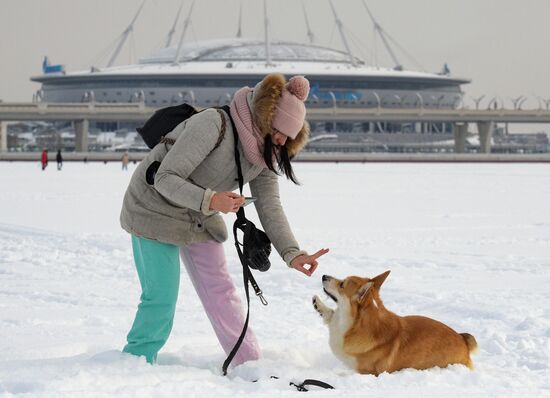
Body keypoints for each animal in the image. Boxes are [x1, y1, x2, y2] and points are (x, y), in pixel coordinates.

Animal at [314, 270, 478, 376]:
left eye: (342, 284)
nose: (324, 276)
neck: (353, 324)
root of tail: (463, 340)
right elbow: (330, 315)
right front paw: (318, 305)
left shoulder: (367, 372)